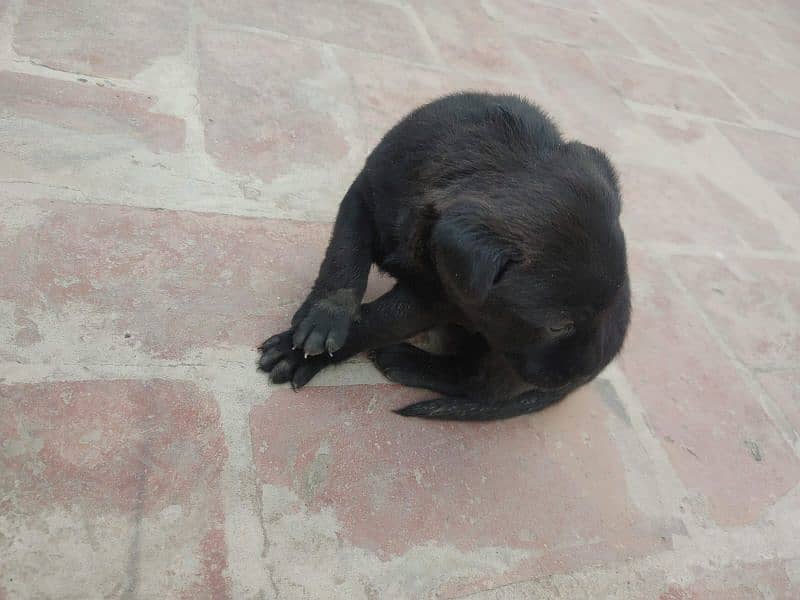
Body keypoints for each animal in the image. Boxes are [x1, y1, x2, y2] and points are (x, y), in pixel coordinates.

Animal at [260, 92, 628, 422]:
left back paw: (407, 362)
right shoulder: (365, 195)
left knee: (481, 384)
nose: (580, 372)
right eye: (558, 325)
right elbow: (343, 260)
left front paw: (301, 354)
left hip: (503, 355)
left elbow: (379, 321)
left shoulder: (438, 300)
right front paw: (324, 320)